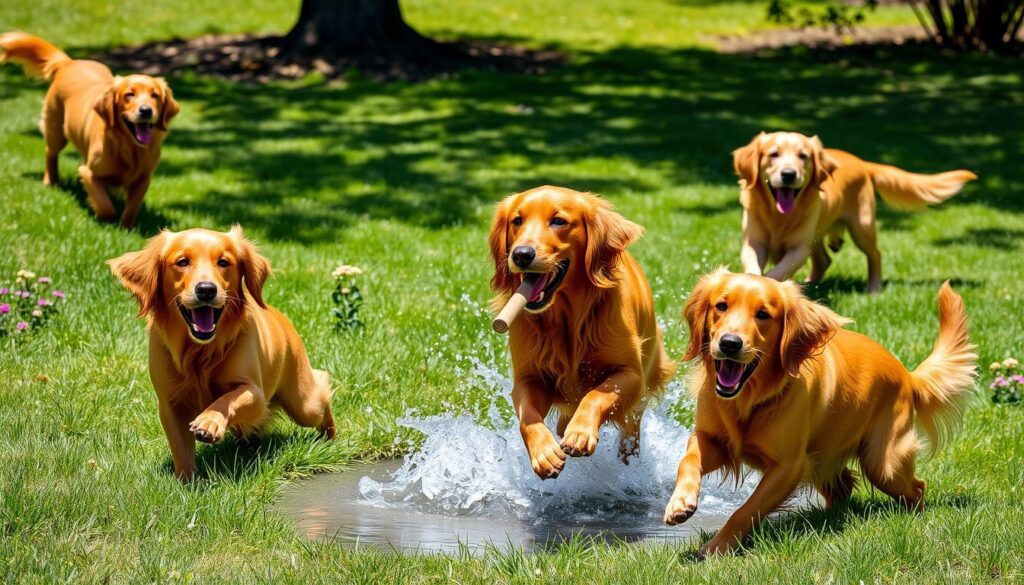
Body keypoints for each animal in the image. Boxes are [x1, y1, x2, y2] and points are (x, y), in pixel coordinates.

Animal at [0, 30, 179, 228]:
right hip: (56, 131)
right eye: (129, 95)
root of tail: (69, 63)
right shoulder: (89, 172)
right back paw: (51, 181)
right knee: (50, 152)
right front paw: (102, 216)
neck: (128, 147)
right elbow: (105, 205)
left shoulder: (143, 178)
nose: (146, 110)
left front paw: (126, 227)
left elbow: (132, 207)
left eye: (155, 95)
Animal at [110, 225, 337, 481]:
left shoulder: (255, 393)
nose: (206, 290)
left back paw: (330, 436)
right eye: (182, 261)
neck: (199, 353)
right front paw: (187, 483)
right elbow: (181, 449)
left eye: (223, 262)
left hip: (303, 403)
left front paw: (208, 422)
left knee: (321, 391)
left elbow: (226, 400)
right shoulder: (170, 404)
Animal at [485, 186, 671, 481]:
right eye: (517, 221)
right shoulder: (528, 378)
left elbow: (596, 395)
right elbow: (528, 416)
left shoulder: (631, 375)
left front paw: (580, 432)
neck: (568, 320)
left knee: (630, 432)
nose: (521, 254)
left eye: (558, 221)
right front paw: (544, 452)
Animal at [663, 268, 974, 557]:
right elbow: (687, 460)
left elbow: (746, 510)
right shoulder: (714, 440)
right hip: (828, 459)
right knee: (845, 485)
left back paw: (913, 517)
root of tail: (908, 375)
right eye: (721, 306)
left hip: (884, 464)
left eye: (763, 314)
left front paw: (718, 547)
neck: (750, 401)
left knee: (917, 487)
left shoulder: (789, 466)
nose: (729, 343)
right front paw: (680, 502)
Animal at [733, 130, 970, 290]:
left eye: (803, 156)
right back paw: (809, 284)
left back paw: (873, 288)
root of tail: (862, 162)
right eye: (773, 154)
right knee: (824, 260)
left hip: (861, 227)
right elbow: (753, 264)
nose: (789, 174)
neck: (778, 217)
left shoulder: (798, 248)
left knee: (875, 254)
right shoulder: (754, 242)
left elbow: (778, 270)